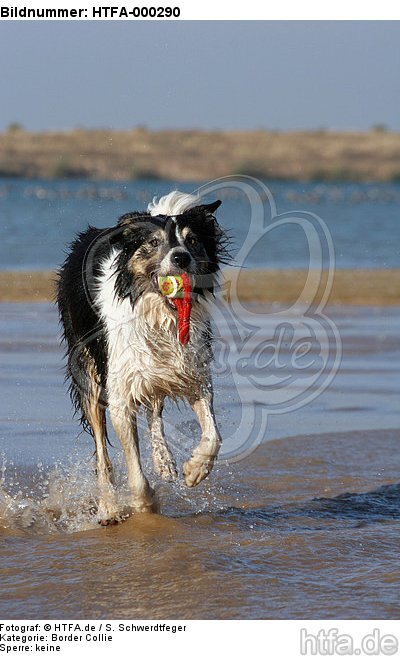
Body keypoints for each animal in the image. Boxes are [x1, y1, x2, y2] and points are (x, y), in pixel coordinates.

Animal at [55, 190, 228, 524]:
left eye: (193, 240)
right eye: (153, 242)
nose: (180, 258)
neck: (159, 313)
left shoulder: (194, 371)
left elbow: (213, 434)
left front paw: (194, 469)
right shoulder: (119, 391)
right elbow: (132, 469)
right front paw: (144, 506)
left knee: (154, 410)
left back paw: (164, 461)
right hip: (89, 369)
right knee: (102, 449)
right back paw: (108, 507)